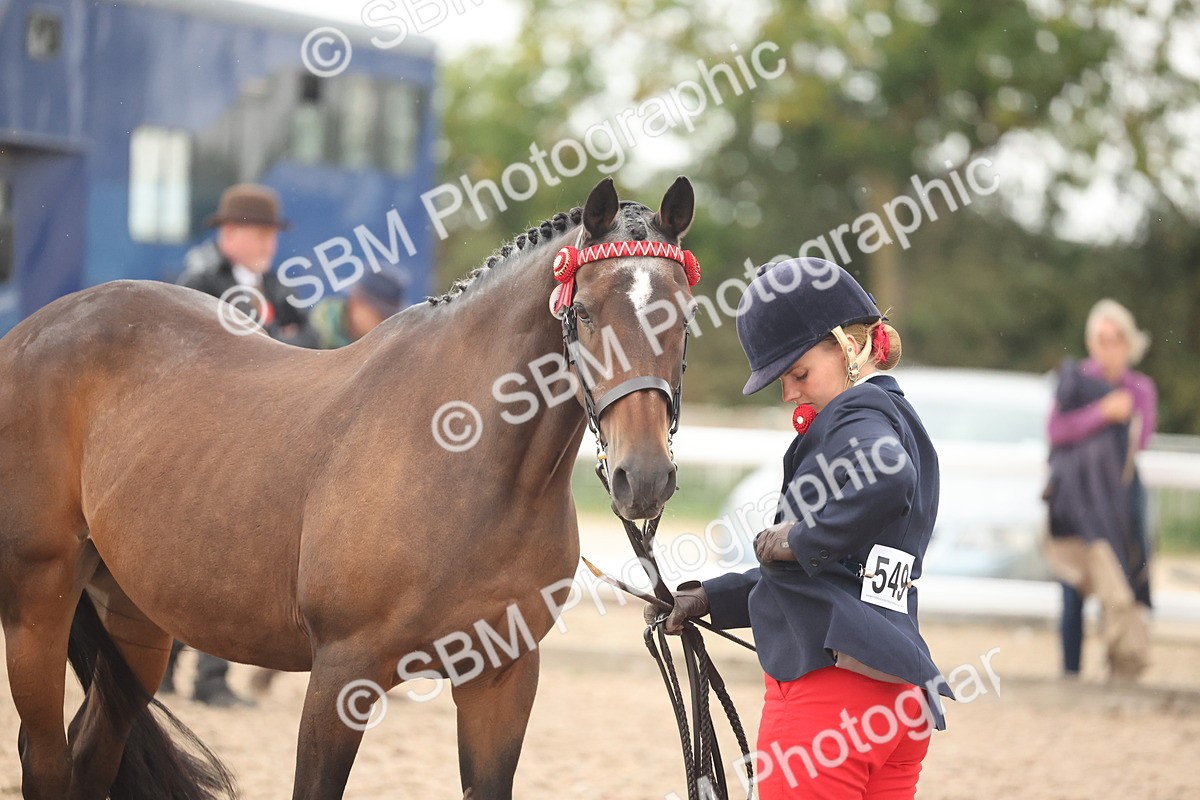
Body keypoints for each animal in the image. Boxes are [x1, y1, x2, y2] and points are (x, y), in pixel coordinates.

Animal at [0, 176, 698, 799]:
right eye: (583, 312)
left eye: (683, 318)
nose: (644, 477)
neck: (466, 461)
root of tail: (34, 330)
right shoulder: (341, 677)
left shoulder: (502, 677)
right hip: (38, 598)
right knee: (46, 760)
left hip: (133, 616)